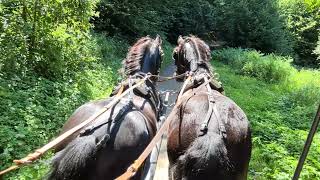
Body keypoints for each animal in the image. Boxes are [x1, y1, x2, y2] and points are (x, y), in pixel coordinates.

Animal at [166, 35, 251, 179]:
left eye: (175, 53)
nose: (175, 74)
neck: (199, 76)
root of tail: (212, 132)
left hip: (173, 166)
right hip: (242, 172)